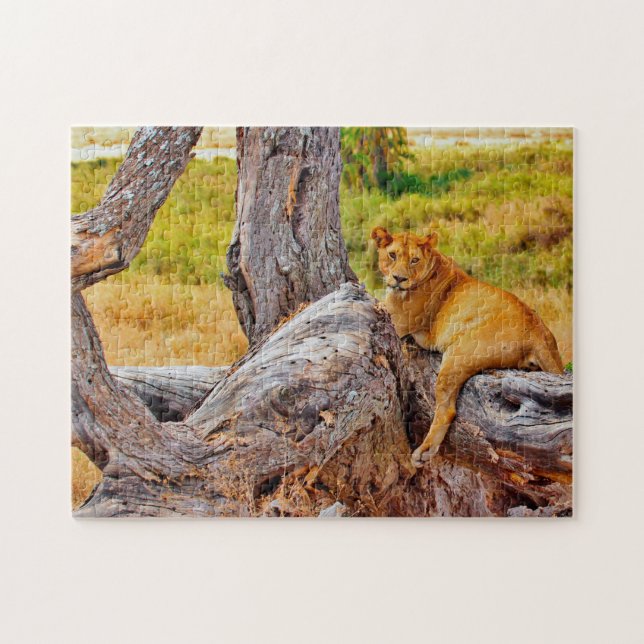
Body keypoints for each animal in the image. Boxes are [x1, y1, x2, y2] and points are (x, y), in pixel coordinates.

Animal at [371, 226, 564, 468]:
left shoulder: (396, 320)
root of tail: (539, 329)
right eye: (392, 255)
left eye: (414, 260)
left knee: (447, 409)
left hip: (458, 356)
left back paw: (425, 451)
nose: (399, 278)